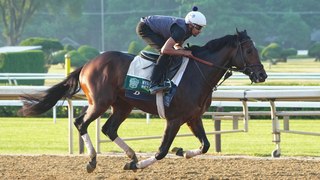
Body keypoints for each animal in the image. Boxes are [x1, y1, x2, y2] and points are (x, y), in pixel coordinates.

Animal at [17, 29, 268, 173]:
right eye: (248, 50)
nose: (262, 75)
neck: (198, 73)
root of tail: (88, 63)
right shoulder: (174, 119)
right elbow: (162, 150)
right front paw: (136, 165)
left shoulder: (193, 117)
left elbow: (205, 145)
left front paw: (182, 152)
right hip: (99, 102)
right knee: (81, 123)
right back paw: (93, 161)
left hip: (123, 105)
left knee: (109, 129)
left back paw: (130, 154)